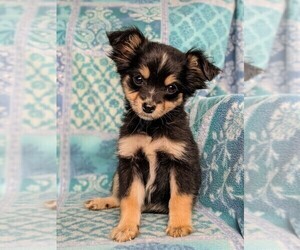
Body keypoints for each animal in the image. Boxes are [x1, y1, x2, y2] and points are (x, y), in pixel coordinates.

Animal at [84, 26, 220, 241]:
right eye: (138, 79)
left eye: (172, 88)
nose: (148, 106)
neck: (151, 128)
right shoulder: (130, 162)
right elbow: (129, 198)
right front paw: (126, 227)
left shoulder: (181, 163)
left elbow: (179, 198)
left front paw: (179, 225)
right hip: (118, 173)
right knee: (118, 196)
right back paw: (102, 201)